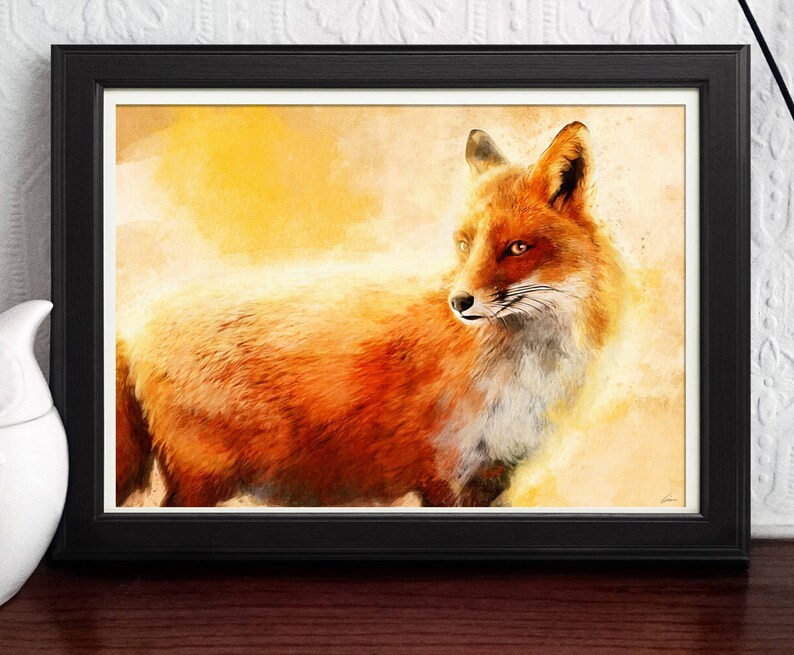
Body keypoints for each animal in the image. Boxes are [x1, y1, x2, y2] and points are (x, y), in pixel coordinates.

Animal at [116, 121, 625, 508]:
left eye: (517, 248)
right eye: (464, 244)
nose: (459, 302)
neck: (522, 371)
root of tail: (133, 328)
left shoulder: (494, 473)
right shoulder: (443, 472)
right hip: (203, 482)